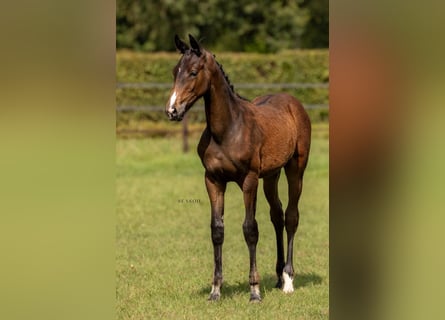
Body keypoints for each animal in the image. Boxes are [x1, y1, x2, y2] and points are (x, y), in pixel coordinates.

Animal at [165, 35, 310, 302]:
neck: (228, 130)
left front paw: (254, 291)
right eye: (174, 71)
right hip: (271, 176)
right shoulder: (213, 180)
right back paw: (277, 277)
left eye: (193, 72)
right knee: (277, 215)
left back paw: (288, 279)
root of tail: (292, 102)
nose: (172, 111)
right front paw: (215, 290)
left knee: (291, 216)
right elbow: (217, 230)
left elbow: (250, 229)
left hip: (295, 169)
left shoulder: (249, 180)